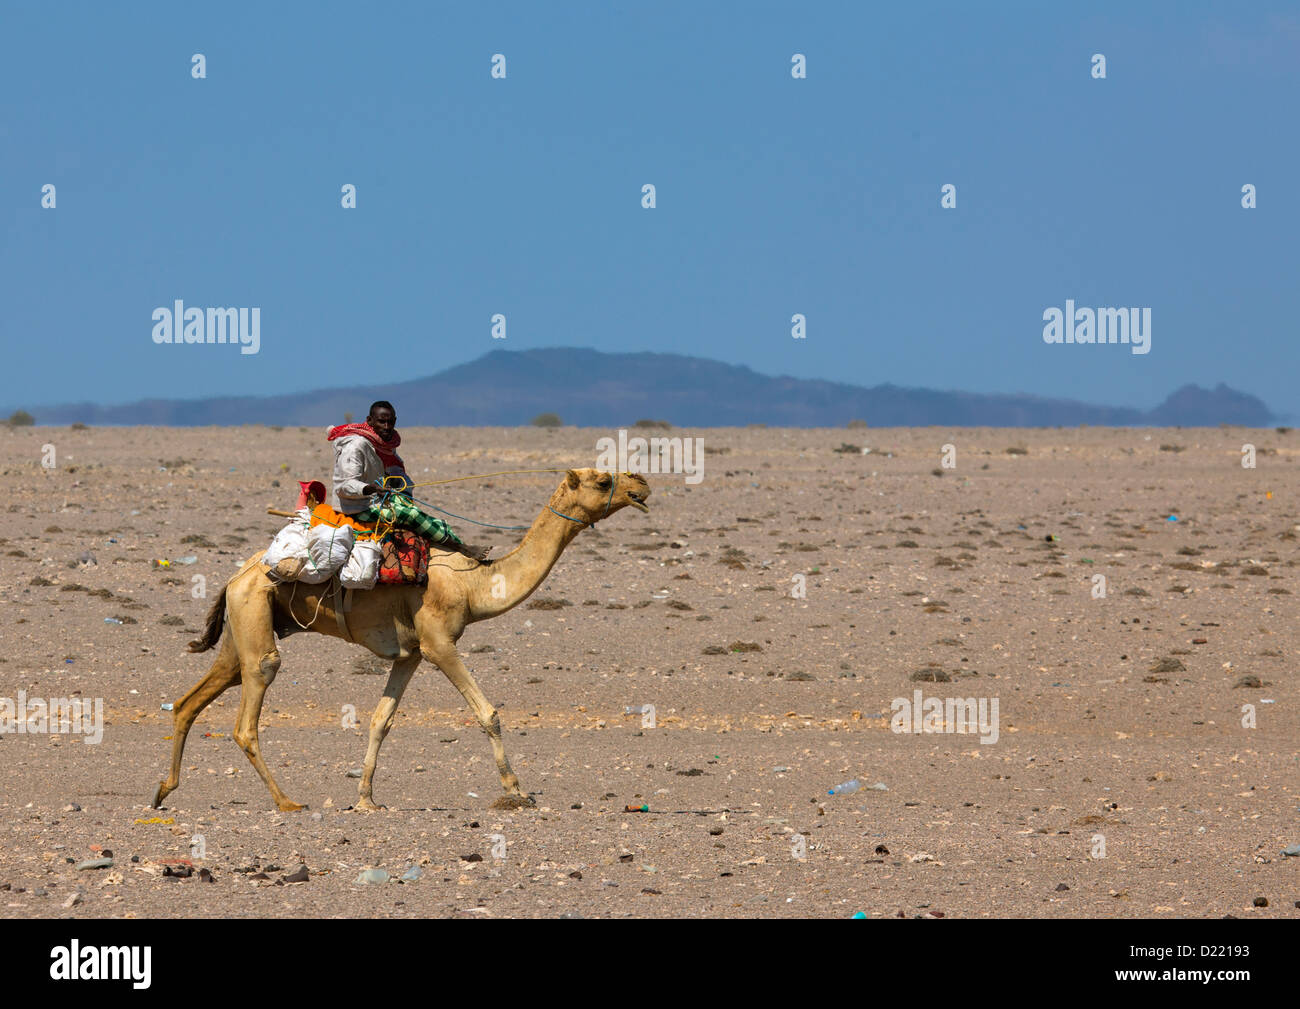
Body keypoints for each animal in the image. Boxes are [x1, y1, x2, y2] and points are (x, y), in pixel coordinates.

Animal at [152, 470, 650, 811]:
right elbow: (488, 714)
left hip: (244, 624)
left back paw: (162, 790)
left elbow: (380, 721)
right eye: (603, 479)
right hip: (255, 619)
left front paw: (365, 798)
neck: (474, 585)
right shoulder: (438, 642)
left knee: (193, 699)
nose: (642, 483)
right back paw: (287, 801)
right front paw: (517, 791)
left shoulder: (408, 654)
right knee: (251, 704)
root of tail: (237, 575)